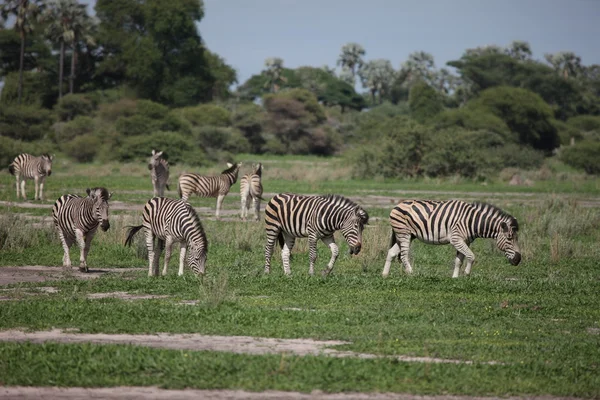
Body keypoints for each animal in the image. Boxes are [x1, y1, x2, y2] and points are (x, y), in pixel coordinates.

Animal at [384, 200, 520, 278]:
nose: (518, 260)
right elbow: (471, 256)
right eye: (509, 238)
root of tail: (398, 204)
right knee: (403, 255)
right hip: (404, 233)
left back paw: (384, 275)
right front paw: (466, 273)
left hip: (407, 234)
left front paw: (455, 278)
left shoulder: (465, 241)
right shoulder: (456, 239)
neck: (473, 221)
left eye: (516, 238)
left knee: (391, 252)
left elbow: (459, 260)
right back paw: (411, 273)